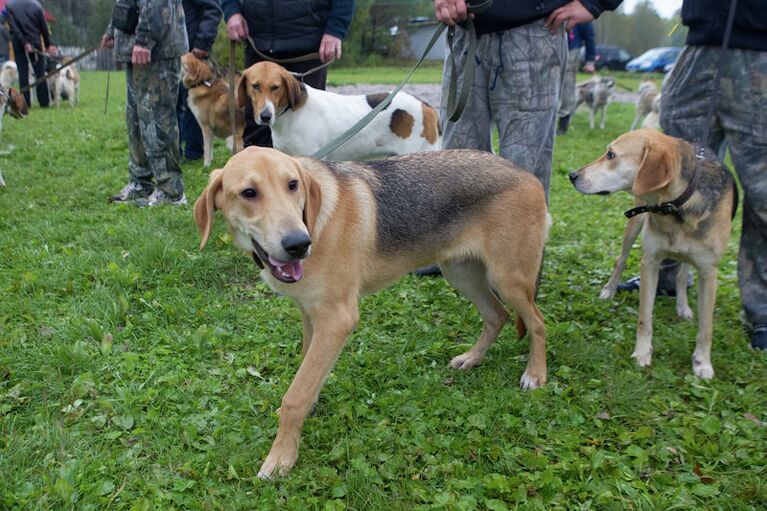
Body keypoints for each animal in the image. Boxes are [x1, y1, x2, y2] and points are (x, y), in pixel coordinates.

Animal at [195, 147, 548, 480]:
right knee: (497, 315)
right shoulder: (311, 315)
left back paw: (535, 374)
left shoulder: (337, 319)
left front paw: (282, 457)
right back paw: (472, 358)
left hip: (509, 278)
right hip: (461, 272)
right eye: (249, 193)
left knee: (538, 322)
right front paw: (308, 409)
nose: (298, 244)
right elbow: (307, 375)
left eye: (292, 185)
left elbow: (295, 396)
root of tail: (527, 174)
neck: (315, 221)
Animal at [568, 129, 736, 380]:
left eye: (611, 154)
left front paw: (702, 362)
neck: (676, 208)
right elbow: (644, 319)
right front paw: (642, 353)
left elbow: (706, 327)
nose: (572, 175)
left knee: (681, 274)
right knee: (620, 260)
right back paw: (609, 290)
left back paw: (683, 307)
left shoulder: (709, 272)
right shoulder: (650, 262)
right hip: (635, 223)